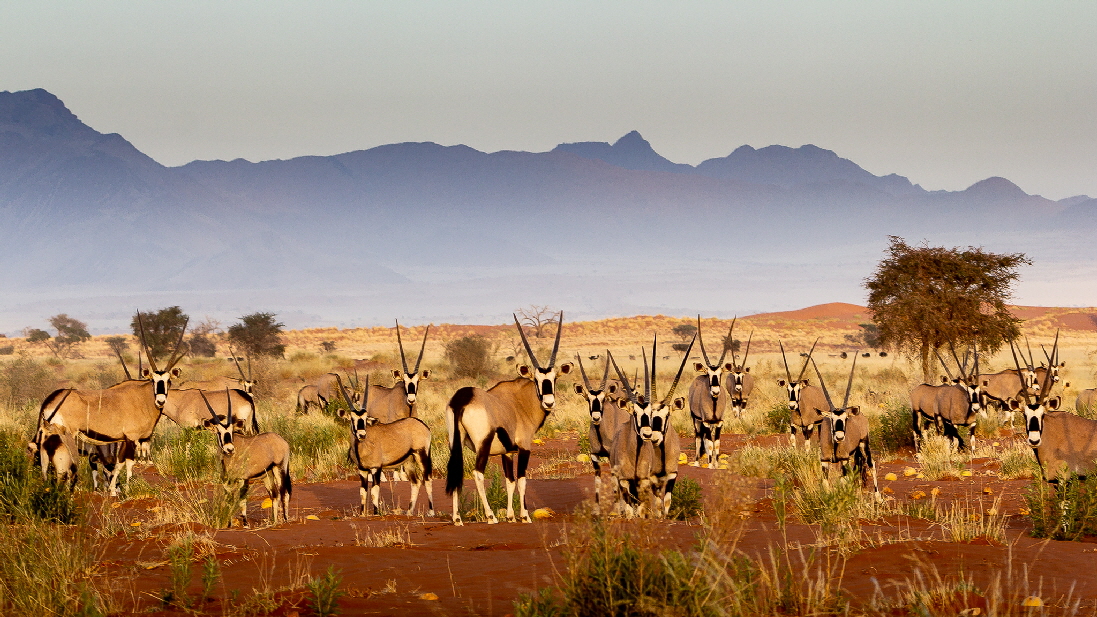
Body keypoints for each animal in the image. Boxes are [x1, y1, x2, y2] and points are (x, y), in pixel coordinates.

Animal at [199, 388, 289, 522]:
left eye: (231, 431)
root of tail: (281, 439)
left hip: (279, 469)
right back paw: (274, 522)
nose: (230, 449)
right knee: (275, 495)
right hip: (267, 475)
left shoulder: (244, 480)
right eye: (219, 432)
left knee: (284, 493)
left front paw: (245, 524)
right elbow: (229, 502)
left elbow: (242, 502)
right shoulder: (227, 481)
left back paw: (285, 520)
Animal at [337, 375, 432, 513]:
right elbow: (363, 493)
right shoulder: (362, 470)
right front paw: (362, 514)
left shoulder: (376, 468)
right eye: (352, 419)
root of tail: (422, 424)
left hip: (421, 455)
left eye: (365, 419)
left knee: (428, 479)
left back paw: (431, 512)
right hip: (409, 461)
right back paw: (409, 512)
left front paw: (376, 513)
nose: (362, 435)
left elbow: (374, 492)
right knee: (416, 482)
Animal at [816, 353, 881, 496]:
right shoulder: (824, 461)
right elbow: (825, 484)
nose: (840, 437)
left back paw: (878, 496)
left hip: (864, 444)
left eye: (846, 418)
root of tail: (860, 415)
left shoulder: (844, 460)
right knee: (858, 467)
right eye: (832, 419)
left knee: (871, 464)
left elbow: (843, 481)